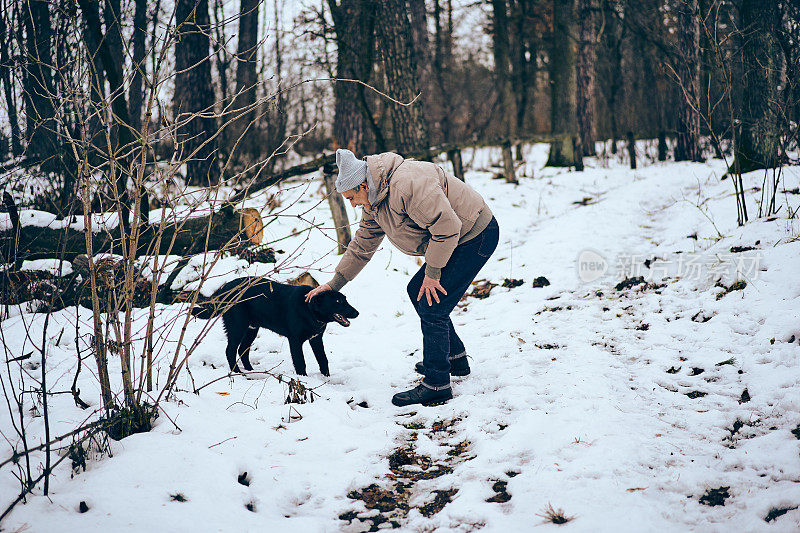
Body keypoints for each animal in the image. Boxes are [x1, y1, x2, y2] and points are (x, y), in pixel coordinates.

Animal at [191, 276, 356, 376]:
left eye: (345, 299)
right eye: (338, 302)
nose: (357, 313)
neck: (309, 309)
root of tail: (225, 288)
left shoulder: (316, 339)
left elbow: (323, 360)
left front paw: (326, 378)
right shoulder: (295, 340)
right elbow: (300, 362)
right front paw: (304, 379)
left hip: (251, 329)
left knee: (242, 350)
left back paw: (251, 370)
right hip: (238, 326)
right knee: (230, 350)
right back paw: (238, 372)